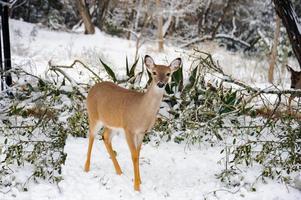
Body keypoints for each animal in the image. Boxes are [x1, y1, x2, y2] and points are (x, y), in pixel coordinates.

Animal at [82, 54, 180, 191]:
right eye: (154, 72)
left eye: (168, 73)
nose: (160, 84)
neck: (141, 110)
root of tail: (92, 88)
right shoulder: (129, 129)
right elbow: (133, 155)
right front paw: (136, 187)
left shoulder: (141, 132)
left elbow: (138, 154)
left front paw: (140, 181)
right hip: (94, 116)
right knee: (91, 136)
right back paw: (86, 168)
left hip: (113, 124)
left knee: (105, 137)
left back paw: (119, 172)